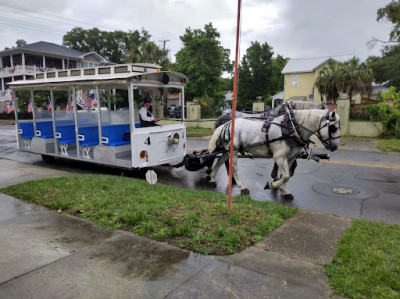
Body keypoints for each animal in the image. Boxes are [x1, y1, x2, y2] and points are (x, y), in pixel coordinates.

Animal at [206, 109, 340, 200]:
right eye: (333, 127)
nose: (335, 147)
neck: (291, 128)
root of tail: (226, 124)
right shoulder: (279, 157)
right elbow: (285, 176)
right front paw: (271, 185)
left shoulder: (290, 158)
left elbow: (286, 175)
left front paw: (284, 190)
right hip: (233, 151)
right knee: (233, 167)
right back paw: (242, 186)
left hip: (226, 150)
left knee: (220, 160)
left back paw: (212, 178)